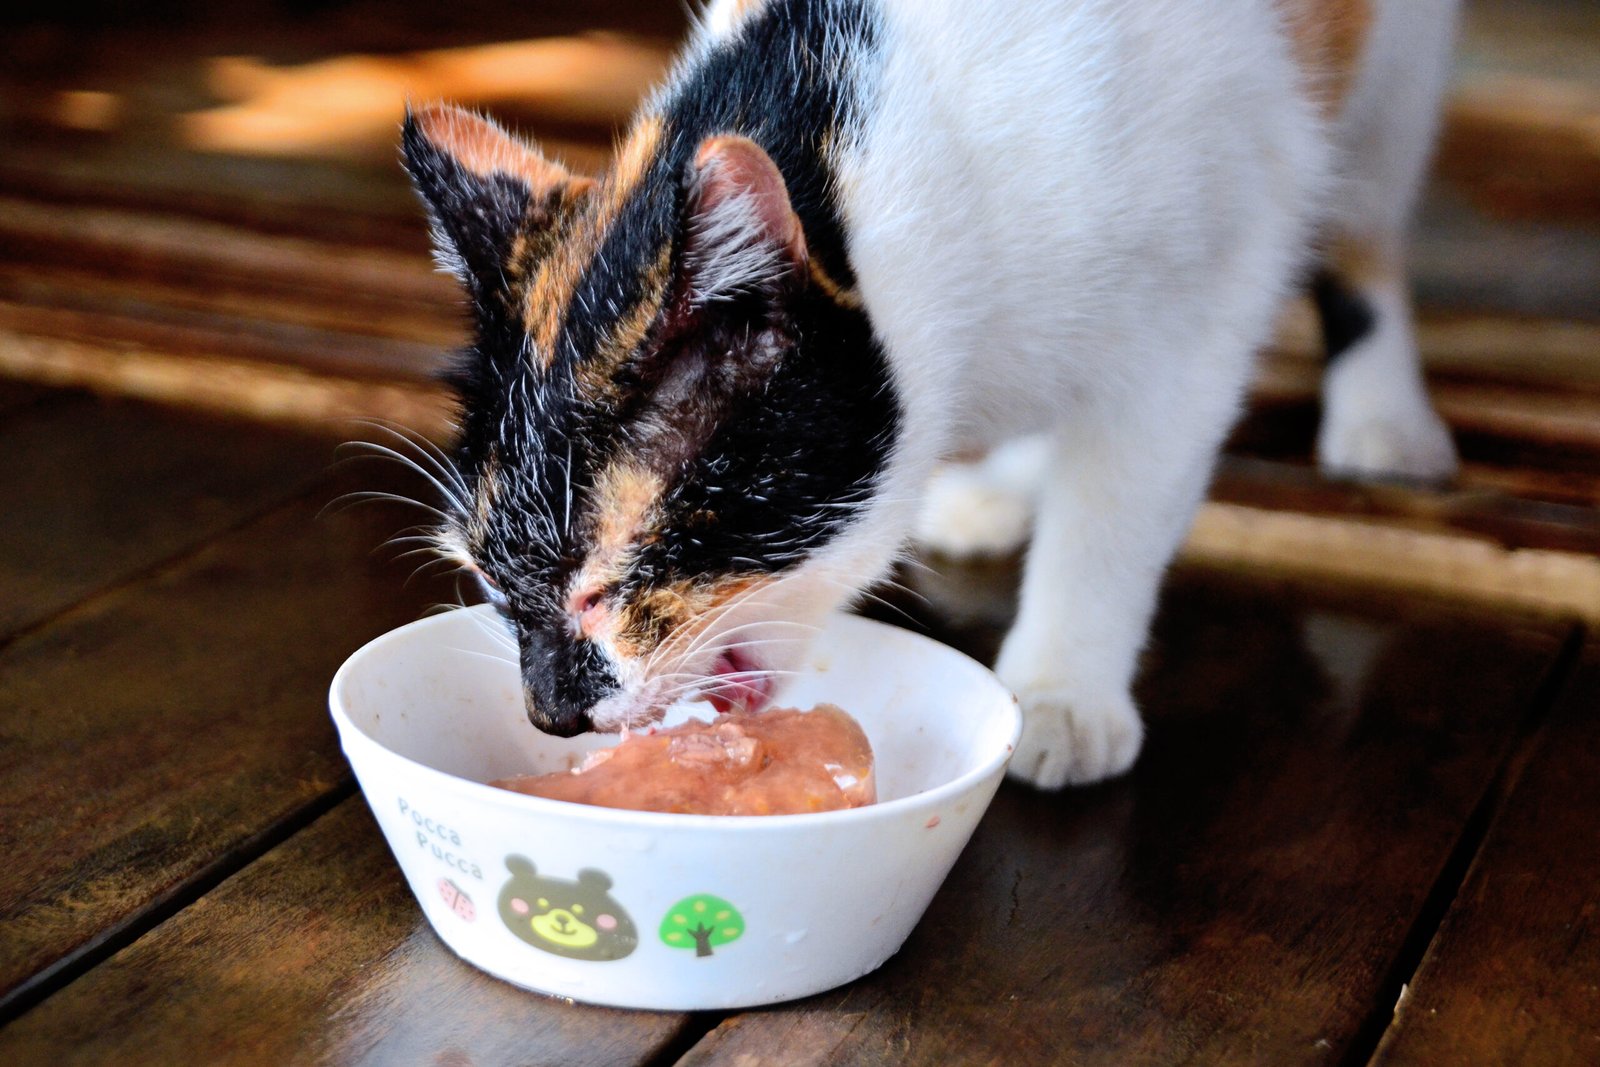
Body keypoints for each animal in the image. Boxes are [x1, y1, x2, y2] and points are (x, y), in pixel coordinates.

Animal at [400, 0, 1465, 790]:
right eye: (489, 579)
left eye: (609, 584)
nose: (551, 710)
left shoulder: (1201, 299)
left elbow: (1120, 500)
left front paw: (1065, 687)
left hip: (1391, 93)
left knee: (1367, 233)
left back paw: (1384, 418)